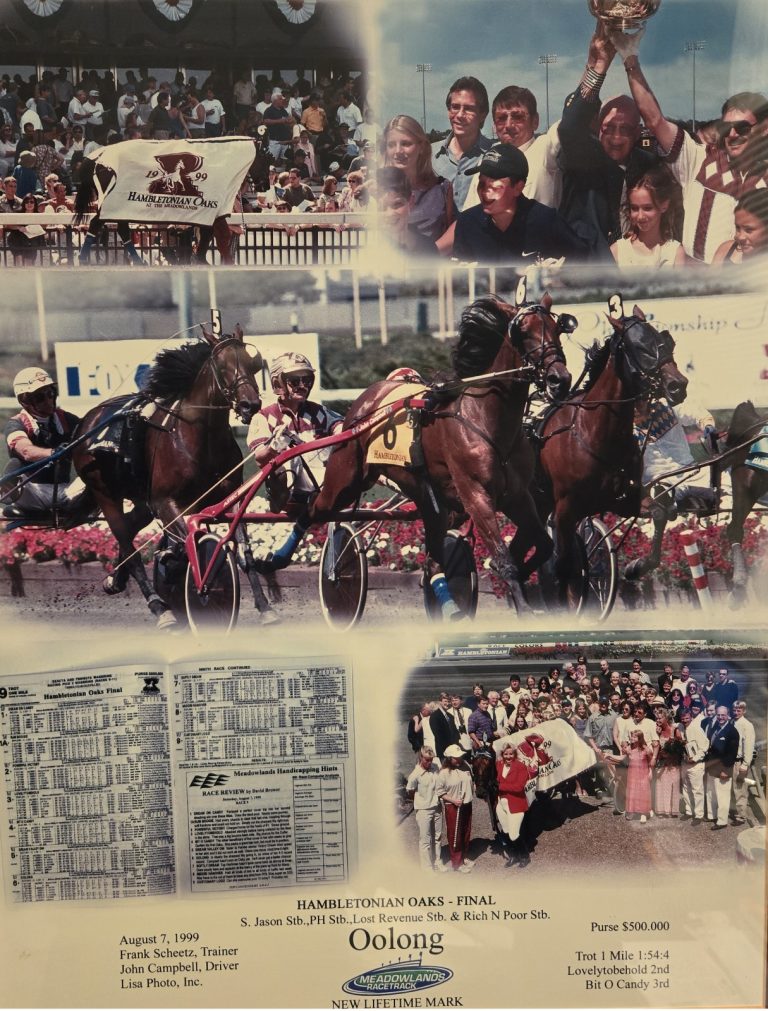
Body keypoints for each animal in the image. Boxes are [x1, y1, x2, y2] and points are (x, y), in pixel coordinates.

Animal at [71, 324, 271, 628]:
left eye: (252, 363)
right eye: (221, 365)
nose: (250, 404)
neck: (199, 438)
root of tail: (88, 420)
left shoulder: (229, 496)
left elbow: (243, 553)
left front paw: (264, 606)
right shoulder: (166, 502)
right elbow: (187, 545)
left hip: (141, 501)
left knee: (131, 530)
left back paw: (115, 578)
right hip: (105, 493)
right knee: (129, 547)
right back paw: (159, 608)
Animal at [263, 293, 573, 619]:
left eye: (558, 328)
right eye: (523, 332)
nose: (559, 379)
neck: (485, 418)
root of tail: (367, 399)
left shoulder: (516, 495)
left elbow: (543, 545)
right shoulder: (476, 494)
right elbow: (504, 558)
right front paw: (522, 604)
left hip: (427, 497)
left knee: (434, 560)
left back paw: (449, 607)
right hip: (345, 480)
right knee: (312, 509)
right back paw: (278, 559)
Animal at [535, 303, 689, 604]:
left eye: (666, 342)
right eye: (640, 347)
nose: (678, 385)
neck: (594, 432)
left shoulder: (621, 498)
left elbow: (659, 513)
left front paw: (636, 566)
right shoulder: (564, 510)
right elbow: (564, 565)